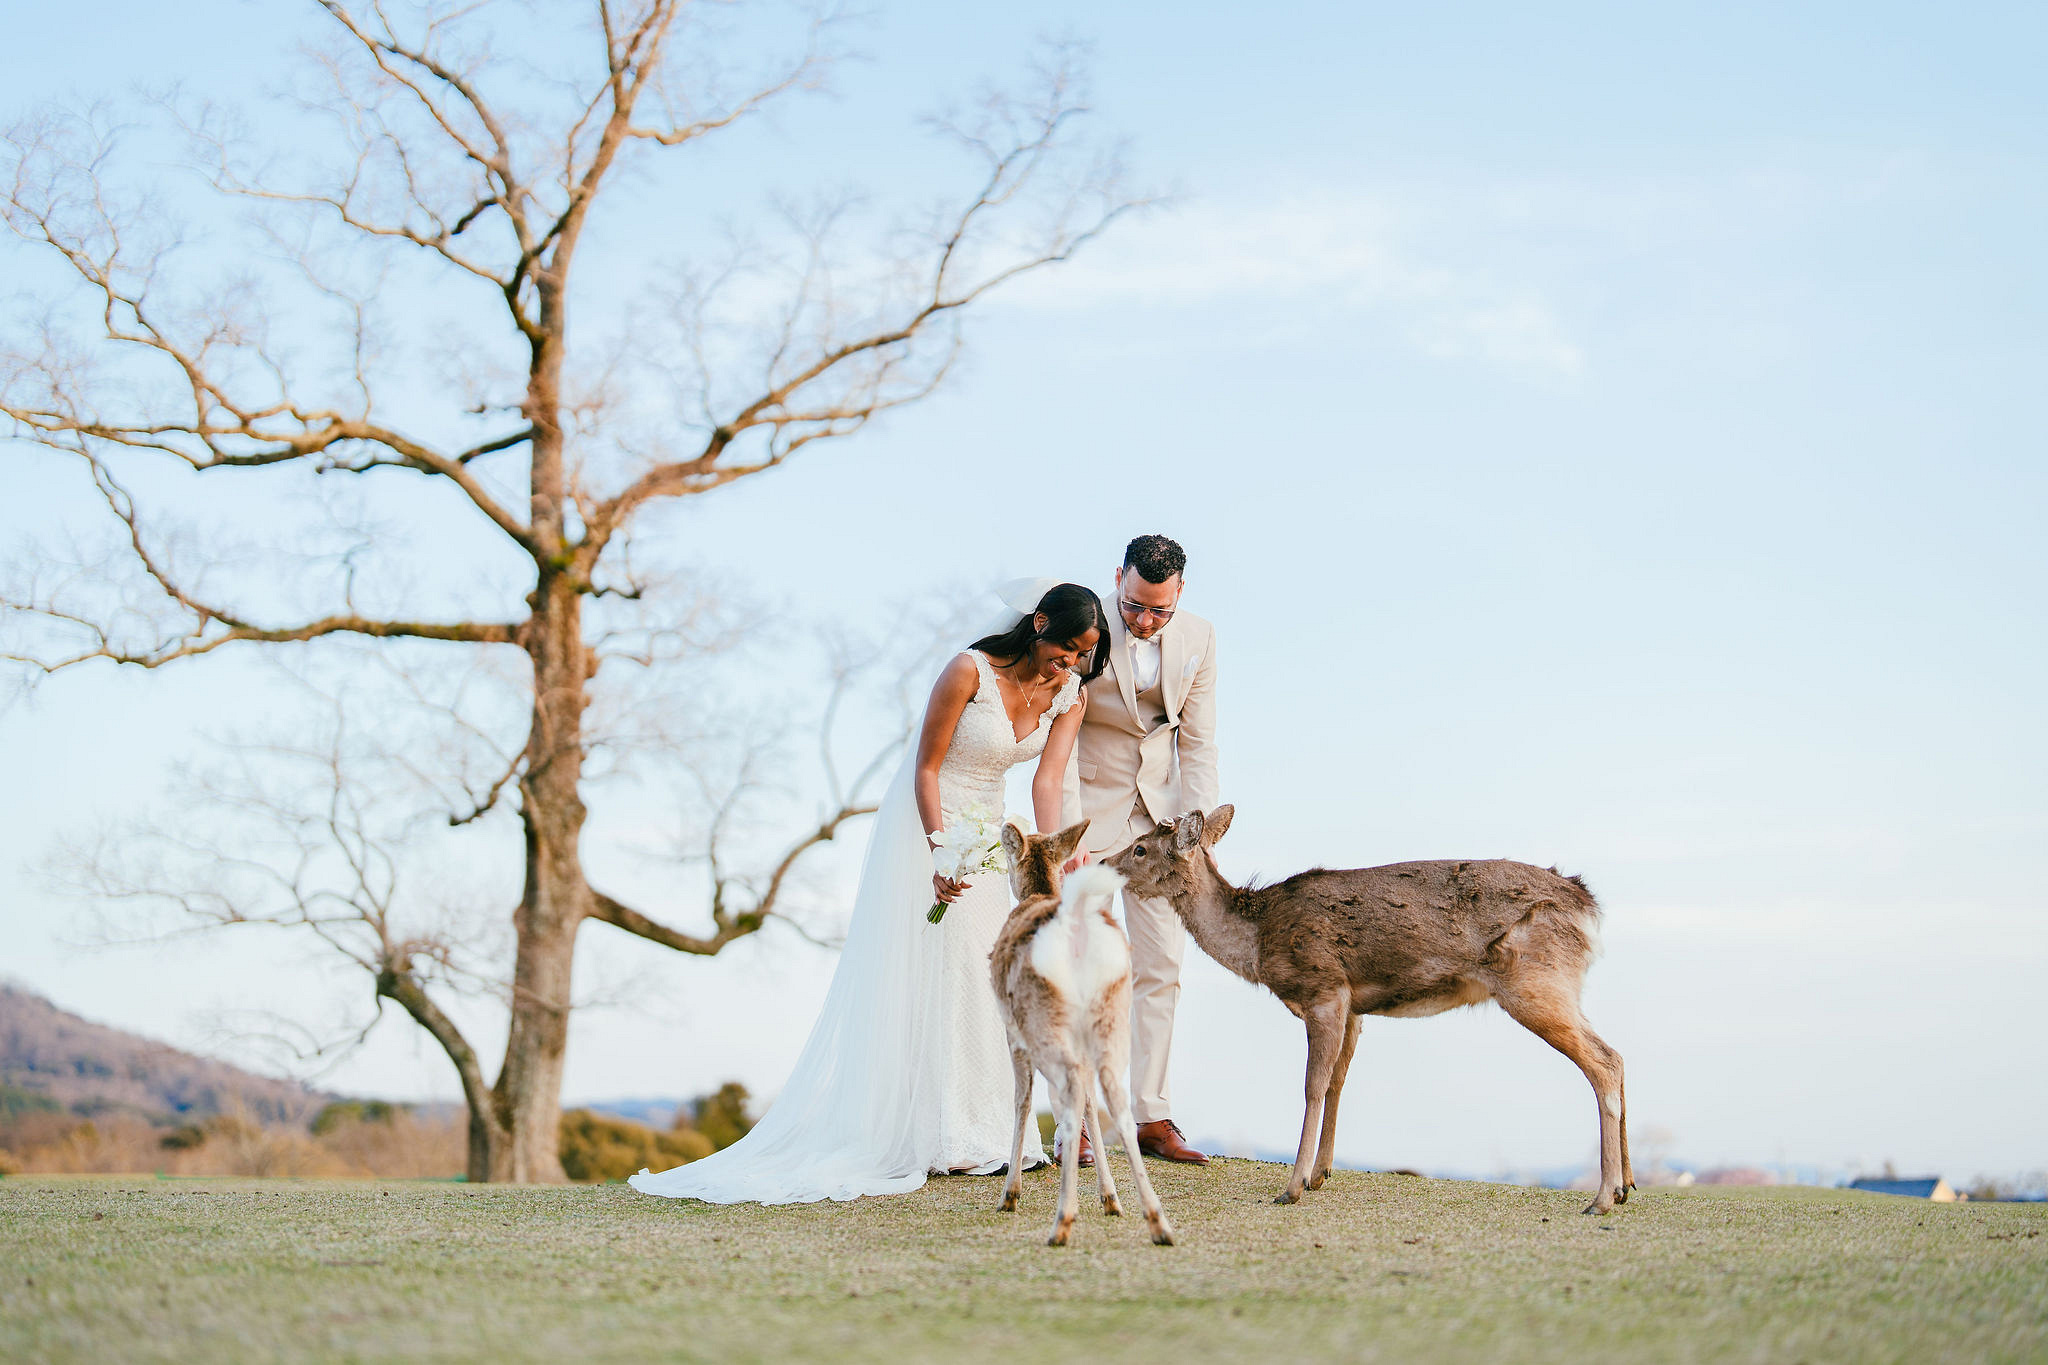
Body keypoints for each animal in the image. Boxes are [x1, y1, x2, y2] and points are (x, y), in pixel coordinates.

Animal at [989, 818, 1175, 1247]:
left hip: (1043, 1019)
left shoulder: (1013, 1031)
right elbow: (1092, 1103)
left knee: (1070, 1094)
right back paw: (1157, 1221)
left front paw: (1010, 1195)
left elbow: (1022, 1101)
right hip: (1111, 1014)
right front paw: (1111, 1199)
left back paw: (1062, 1221)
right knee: (1115, 1102)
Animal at [1105, 806, 1634, 1214]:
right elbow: (1338, 1083)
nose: (1105, 860)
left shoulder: (1325, 988)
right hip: (1559, 985)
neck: (1258, 942)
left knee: (1604, 1062)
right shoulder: (1355, 1007)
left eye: (1140, 848)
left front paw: (1293, 1187)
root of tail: (1588, 906)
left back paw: (1602, 1197)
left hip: (1534, 982)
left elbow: (1313, 1085)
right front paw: (1320, 1173)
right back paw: (1627, 1185)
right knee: (1618, 1055)